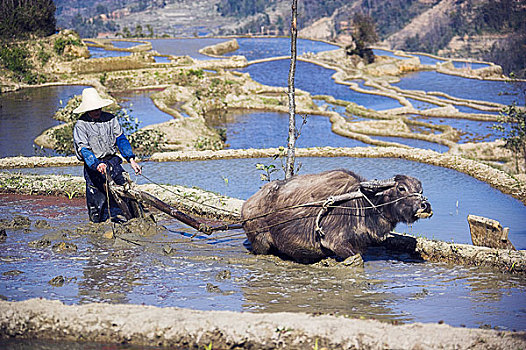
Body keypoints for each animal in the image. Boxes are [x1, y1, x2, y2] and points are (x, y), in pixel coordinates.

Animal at [242, 169, 434, 262]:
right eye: (401, 188)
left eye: (420, 190)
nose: (425, 206)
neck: (362, 205)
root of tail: (248, 205)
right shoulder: (336, 242)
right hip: (261, 242)